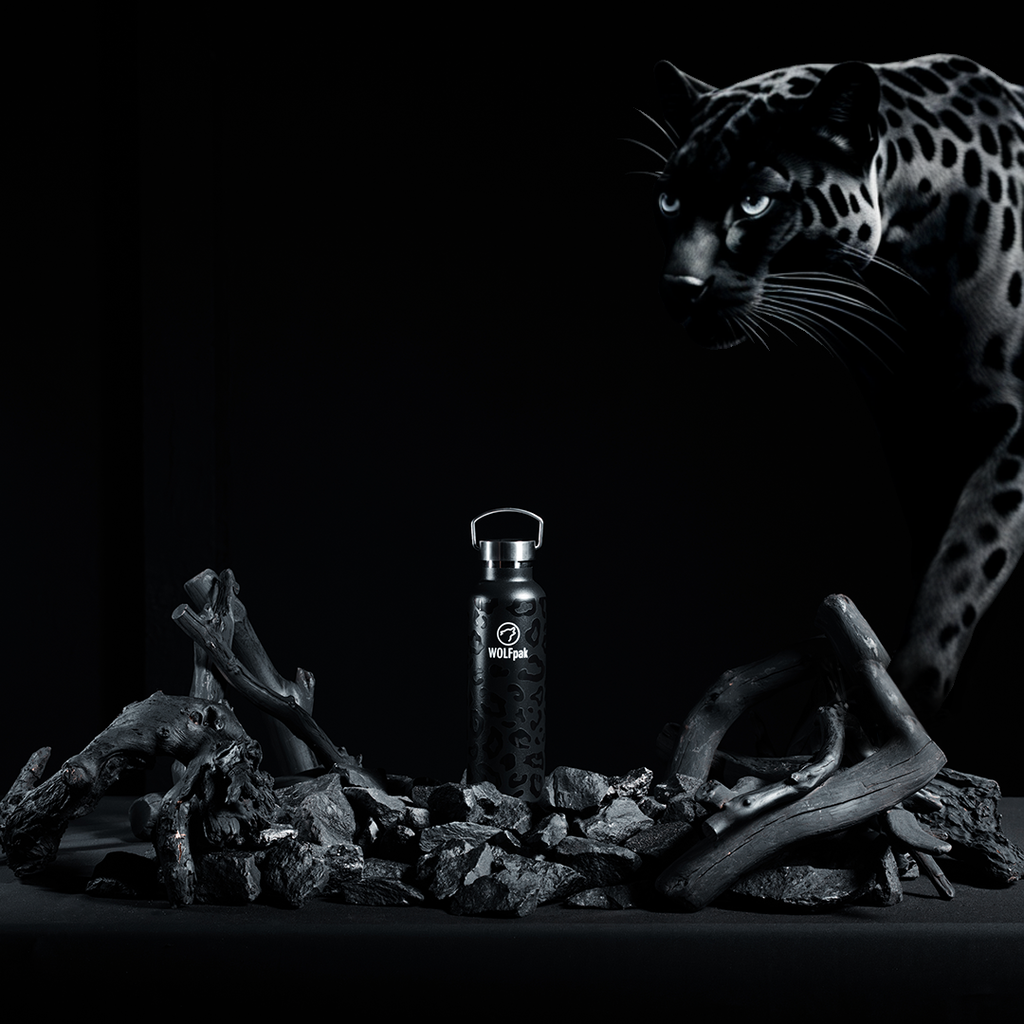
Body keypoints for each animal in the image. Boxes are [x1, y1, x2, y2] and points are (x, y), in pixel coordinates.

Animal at [633, 54, 1023, 723]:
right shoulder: (916, 439)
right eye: (669, 199)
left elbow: (962, 563)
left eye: (755, 203)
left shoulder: (1012, 429)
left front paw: (907, 697)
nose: (679, 287)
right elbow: (937, 556)